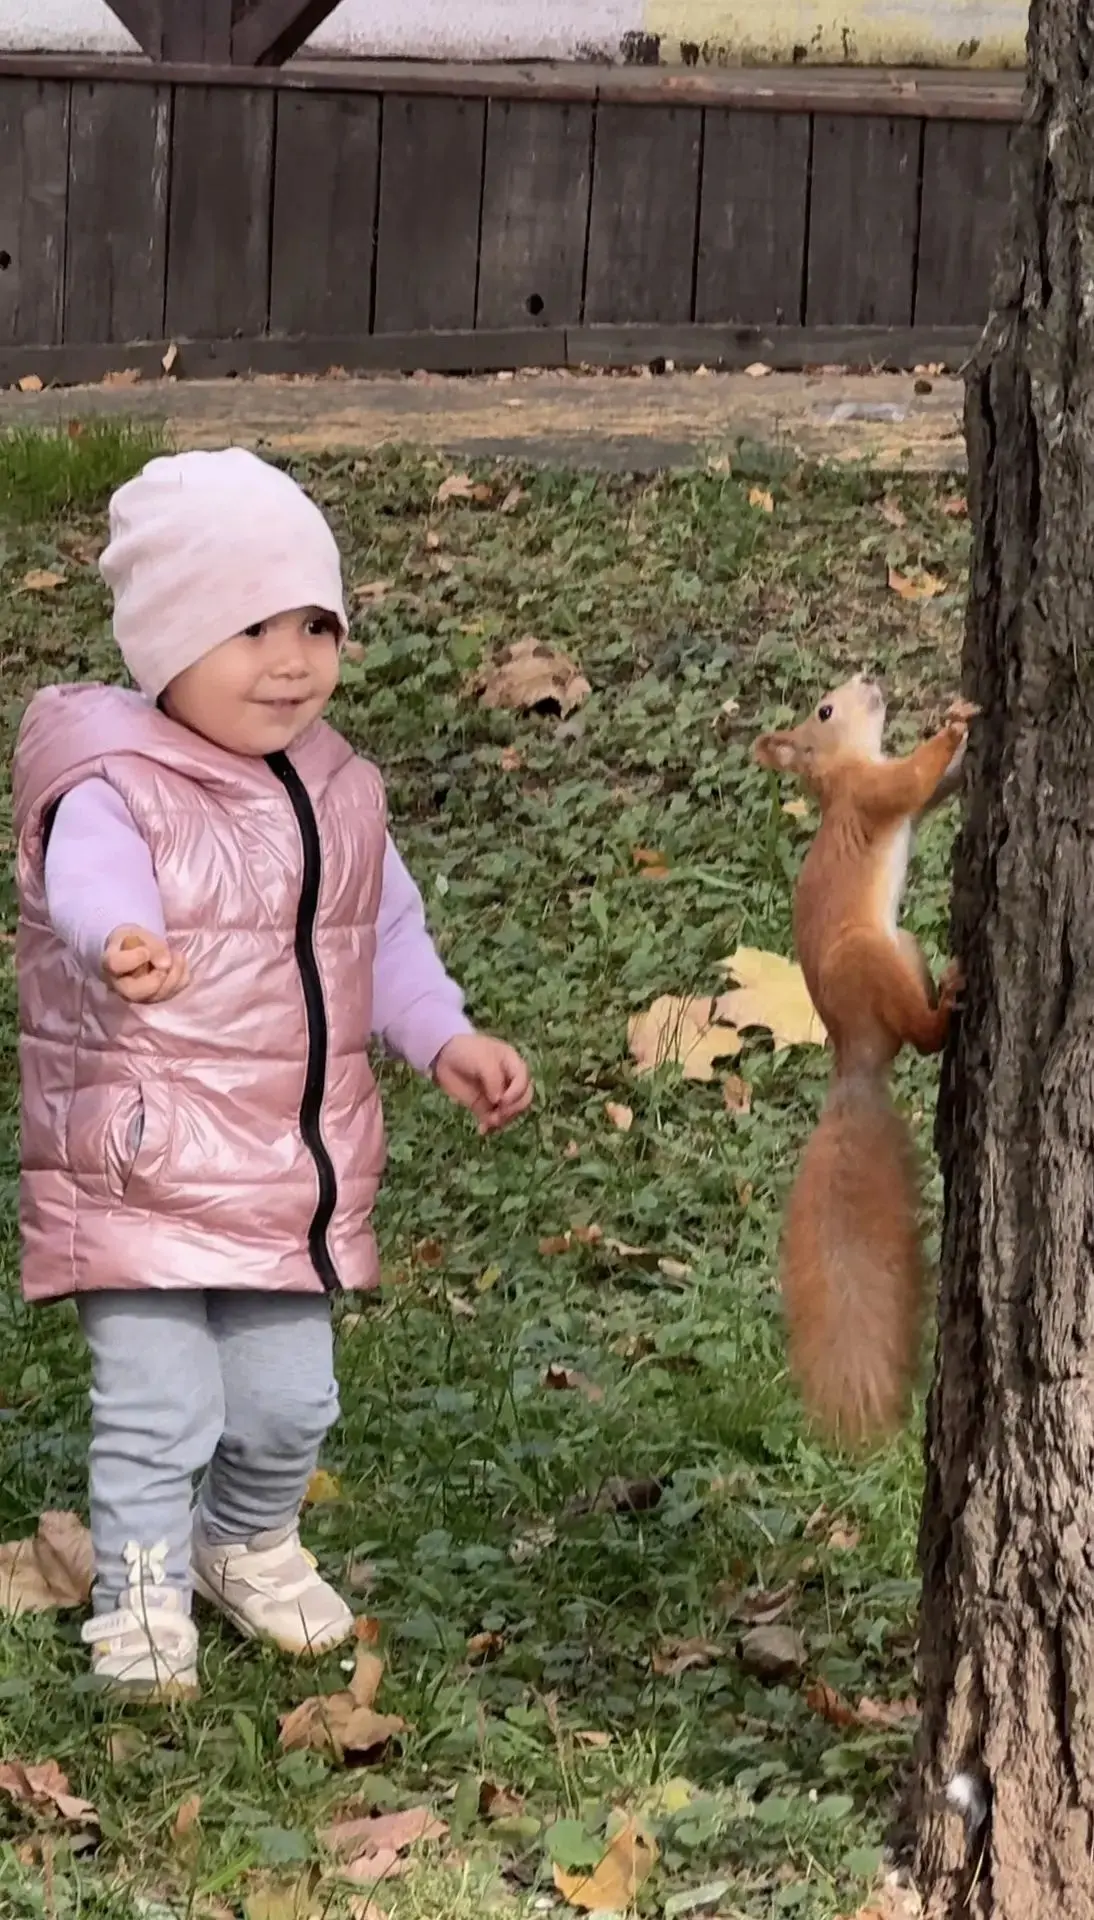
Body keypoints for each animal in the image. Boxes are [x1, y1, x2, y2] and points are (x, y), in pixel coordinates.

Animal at [753, 674, 977, 1445]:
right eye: (824, 710)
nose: (871, 680)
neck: (842, 768)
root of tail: (856, 1057)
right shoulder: (872, 792)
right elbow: (910, 781)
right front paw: (955, 725)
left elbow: (937, 791)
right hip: (874, 958)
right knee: (925, 1037)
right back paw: (952, 997)